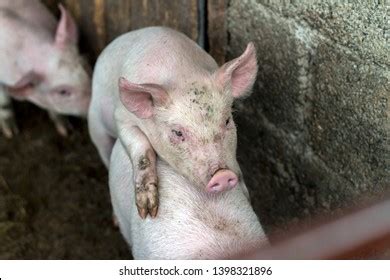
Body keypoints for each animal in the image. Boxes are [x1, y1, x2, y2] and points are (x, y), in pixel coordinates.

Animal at [89, 26, 258, 218]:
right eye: (177, 132)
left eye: (227, 120)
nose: (222, 176)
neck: (181, 72)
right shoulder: (122, 118)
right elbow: (141, 150)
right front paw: (148, 211)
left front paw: (246, 195)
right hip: (95, 125)